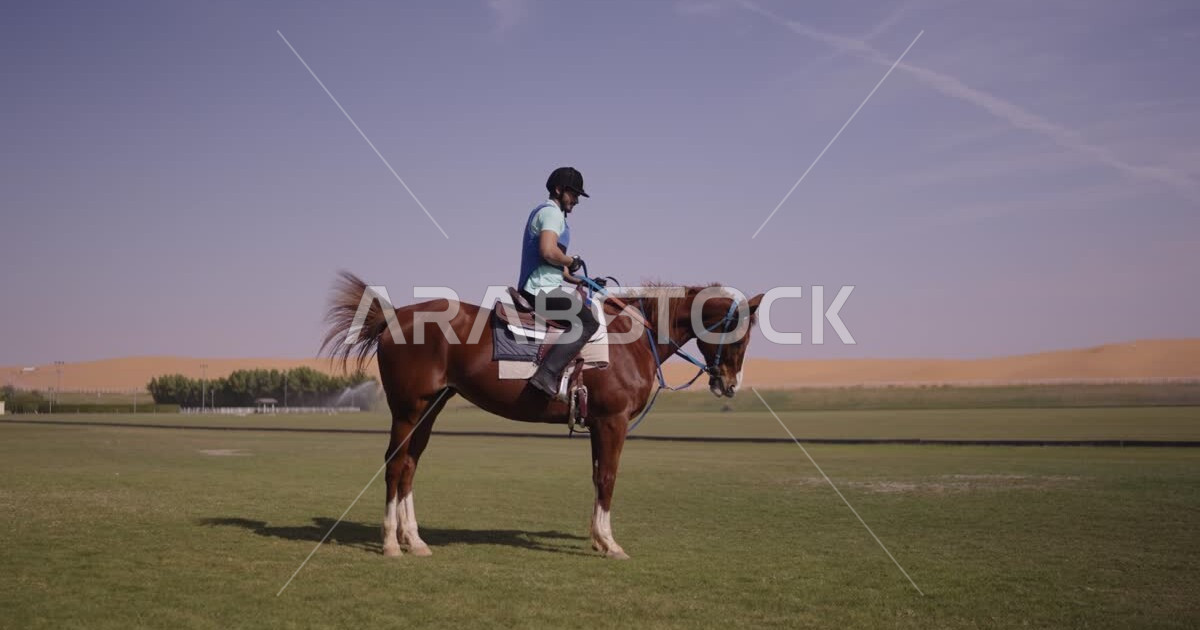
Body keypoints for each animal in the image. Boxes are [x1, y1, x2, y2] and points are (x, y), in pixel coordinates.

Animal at [321, 272, 763, 559]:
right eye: (738, 335)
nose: (730, 385)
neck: (632, 339)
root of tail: (394, 317)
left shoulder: (597, 424)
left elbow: (597, 478)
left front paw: (598, 538)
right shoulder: (613, 422)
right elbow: (608, 478)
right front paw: (610, 543)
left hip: (431, 407)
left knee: (410, 465)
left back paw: (413, 540)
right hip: (408, 409)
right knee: (396, 465)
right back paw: (390, 543)